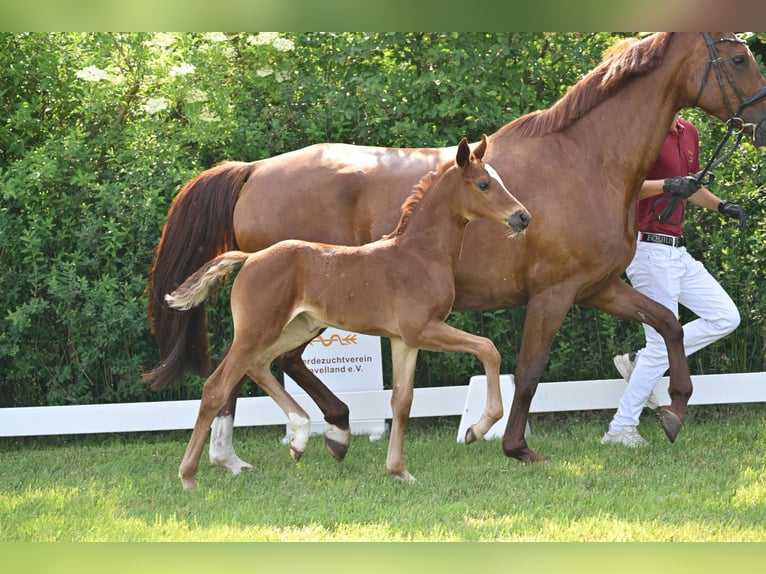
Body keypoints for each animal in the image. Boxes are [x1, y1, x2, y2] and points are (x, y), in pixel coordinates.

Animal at [164, 136, 531, 489]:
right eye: (484, 184)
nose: (523, 217)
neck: (420, 254)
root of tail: (250, 258)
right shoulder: (423, 329)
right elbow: (488, 349)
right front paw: (475, 430)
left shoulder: (404, 340)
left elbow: (402, 401)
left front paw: (399, 471)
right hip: (258, 330)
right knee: (216, 387)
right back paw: (189, 476)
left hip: (297, 328)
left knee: (259, 366)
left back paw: (301, 437)